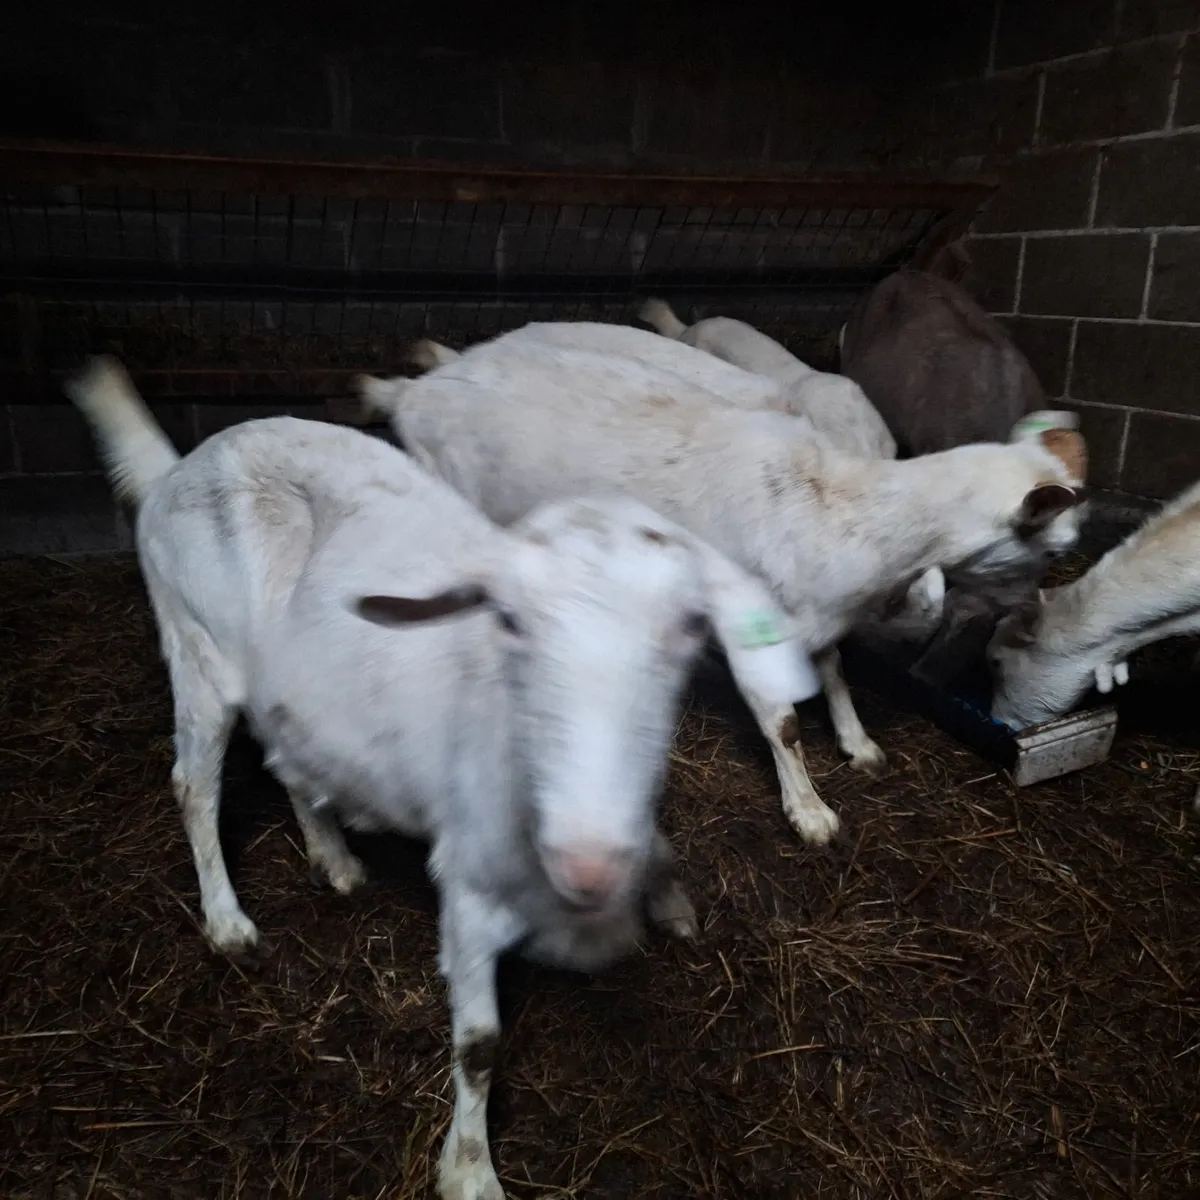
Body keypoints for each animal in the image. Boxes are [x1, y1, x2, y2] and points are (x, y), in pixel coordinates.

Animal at [66, 355, 818, 1200]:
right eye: (509, 619)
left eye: (691, 626)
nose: (587, 862)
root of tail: (175, 470)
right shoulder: (470, 891)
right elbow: (481, 1043)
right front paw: (470, 1172)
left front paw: (667, 896)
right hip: (196, 652)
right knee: (195, 784)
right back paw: (227, 920)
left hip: (284, 687)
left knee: (287, 754)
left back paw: (334, 857)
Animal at [361, 321, 1087, 846]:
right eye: (1054, 547)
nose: (1034, 611)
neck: (836, 508)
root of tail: (414, 392)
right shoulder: (753, 626)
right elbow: (783, 723)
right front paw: (810, 813)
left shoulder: (814, 613)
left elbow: (834, 670)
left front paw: (858, 743)